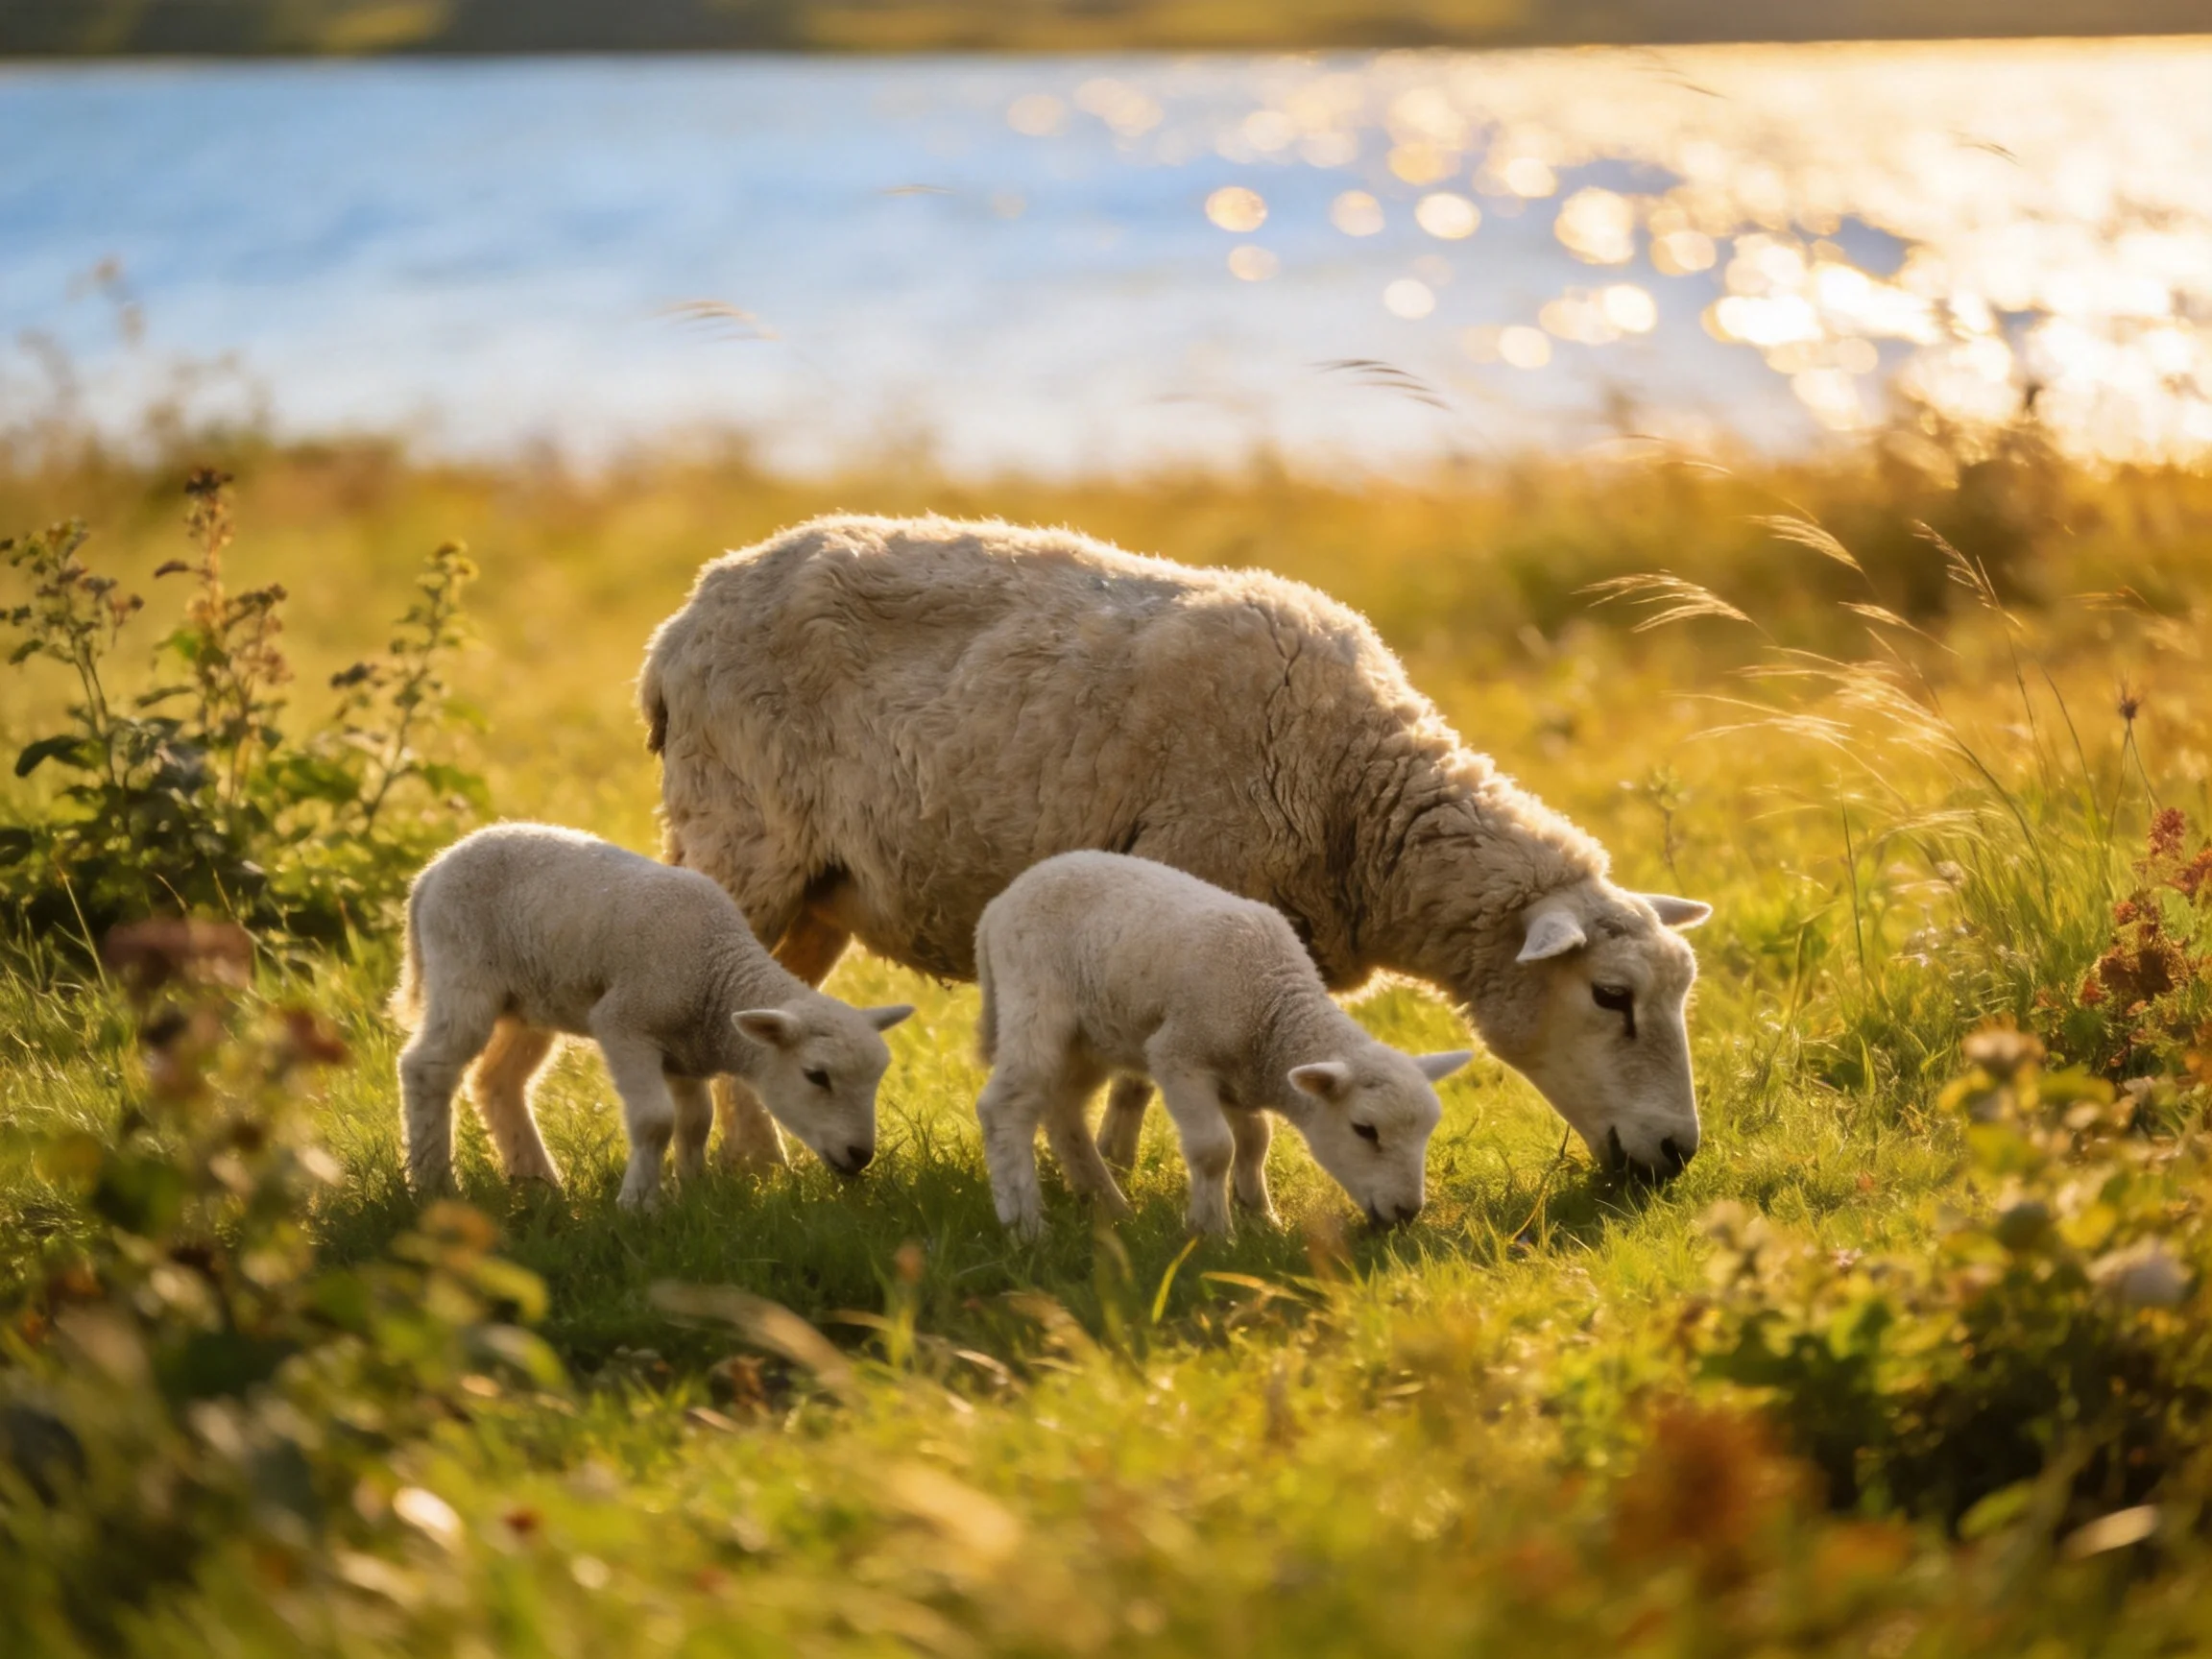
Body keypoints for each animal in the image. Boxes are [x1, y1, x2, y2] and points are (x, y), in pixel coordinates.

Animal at [390, 822, 913, 1209]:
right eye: (816, 1076)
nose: (860, 1155)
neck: (716, 975)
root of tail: (431, 872)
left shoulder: (684, 1051)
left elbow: (696, 1121)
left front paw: (692, 1193)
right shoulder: (625, 1023)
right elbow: (655, 1120)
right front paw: (639, 1204)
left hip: (531, 1002)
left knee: (498, 1081)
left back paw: (539, 1182)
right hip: (462, 972)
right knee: (427, 1068)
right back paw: (434, 1184)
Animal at [641, 514, 1711, 1180]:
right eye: (1611, 997)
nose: (1678, 1157)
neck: (1356, 802)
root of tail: (684, 616)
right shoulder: (1192, 887)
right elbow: (1142, 1074)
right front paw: (1123, 1172)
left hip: (821, 884)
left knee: (772, 1009)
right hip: (739, 836)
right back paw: (743, 1167)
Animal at [974, 851, 1470, 1238]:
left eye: (1426, 1131)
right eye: (1365, 1130)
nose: (1407, 1212)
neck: (1271, 1008)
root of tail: (998, 906)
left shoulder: (1239, 1074)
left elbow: (1255, 1140)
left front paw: (1261, 1214)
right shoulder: (1179, 1055)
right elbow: (1215, 1149)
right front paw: (1212, 1230)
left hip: (1090, 1037)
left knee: (1064, 1111)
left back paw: (1109, 1207)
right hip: (1035, 1001)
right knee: (1004, 1106)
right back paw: (1025, 1225)